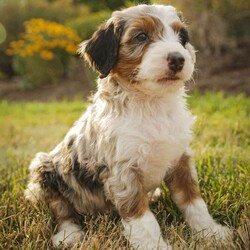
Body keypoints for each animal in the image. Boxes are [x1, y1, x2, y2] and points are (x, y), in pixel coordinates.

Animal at [24, 4, 230, 250]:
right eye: (141, 36)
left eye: (182, 37)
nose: (178, 59)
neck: (151, 104)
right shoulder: (123, 171)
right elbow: (142, 217)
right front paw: (155, 245)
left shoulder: (181, 158)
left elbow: (193, 201)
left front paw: (211, 233)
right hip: (44, 168)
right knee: (61, 209)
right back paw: (70, 234)